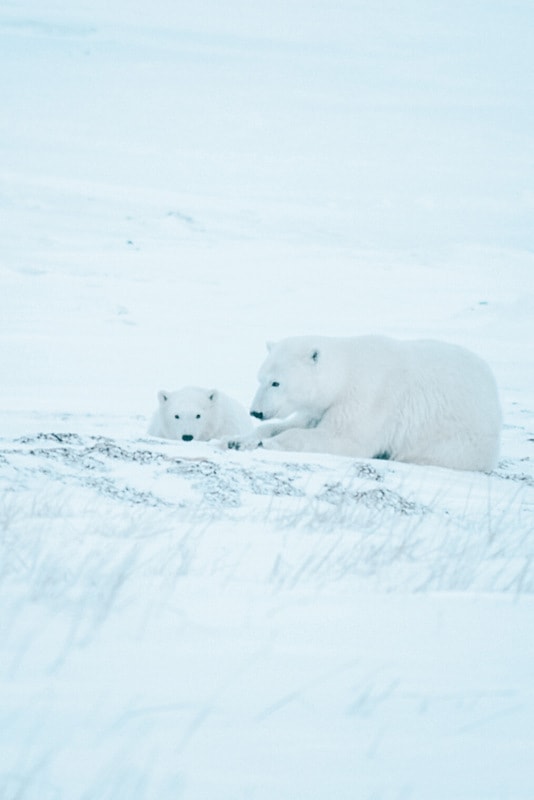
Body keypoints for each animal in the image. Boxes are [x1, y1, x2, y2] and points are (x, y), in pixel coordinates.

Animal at [226, 335, 502, 472]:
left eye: (276, 383)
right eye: (260, 379)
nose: (256, 411)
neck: (347, 371)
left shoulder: (368, 398)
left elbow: (343, 438)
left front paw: (263, 443)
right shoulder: (322, 406)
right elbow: (296, 423)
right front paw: (238, 439)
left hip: (454, 439)